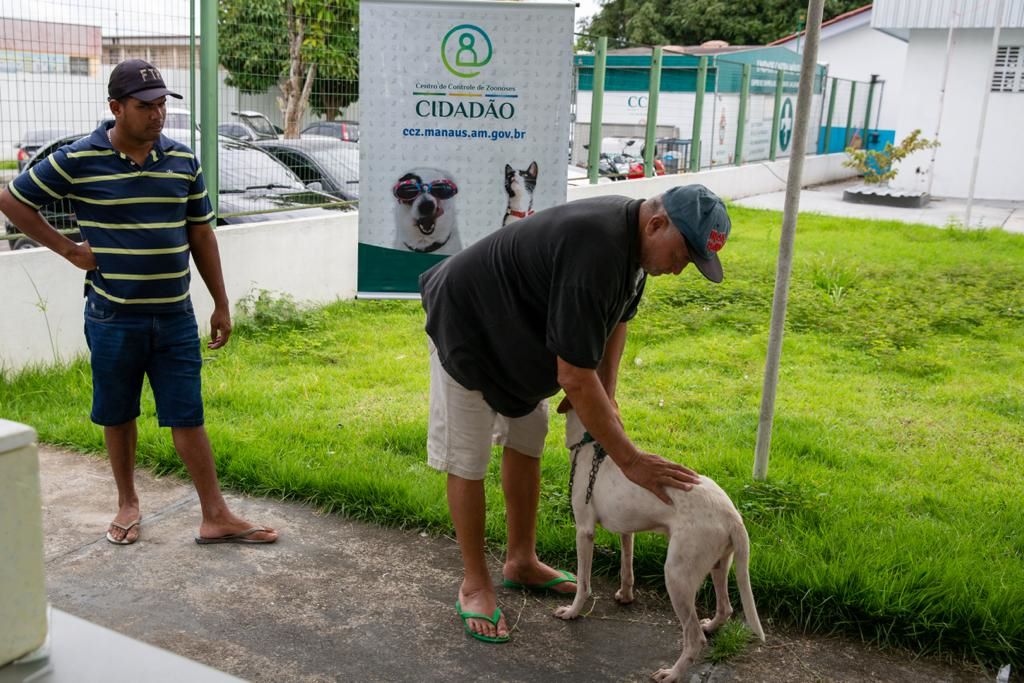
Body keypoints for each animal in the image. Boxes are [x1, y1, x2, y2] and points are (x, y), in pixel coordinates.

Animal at [557, 411, 765, 683]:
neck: (592, 445)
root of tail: (733, 517)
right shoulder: (627, 530)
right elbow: (627, 569)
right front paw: (626, 596)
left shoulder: (584, 531)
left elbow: (583, 584)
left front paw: (572, 611)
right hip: (718, 565)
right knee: (725, 608)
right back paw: (710, 626)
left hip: (677, 576)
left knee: (694, 638)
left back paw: (672, 673)